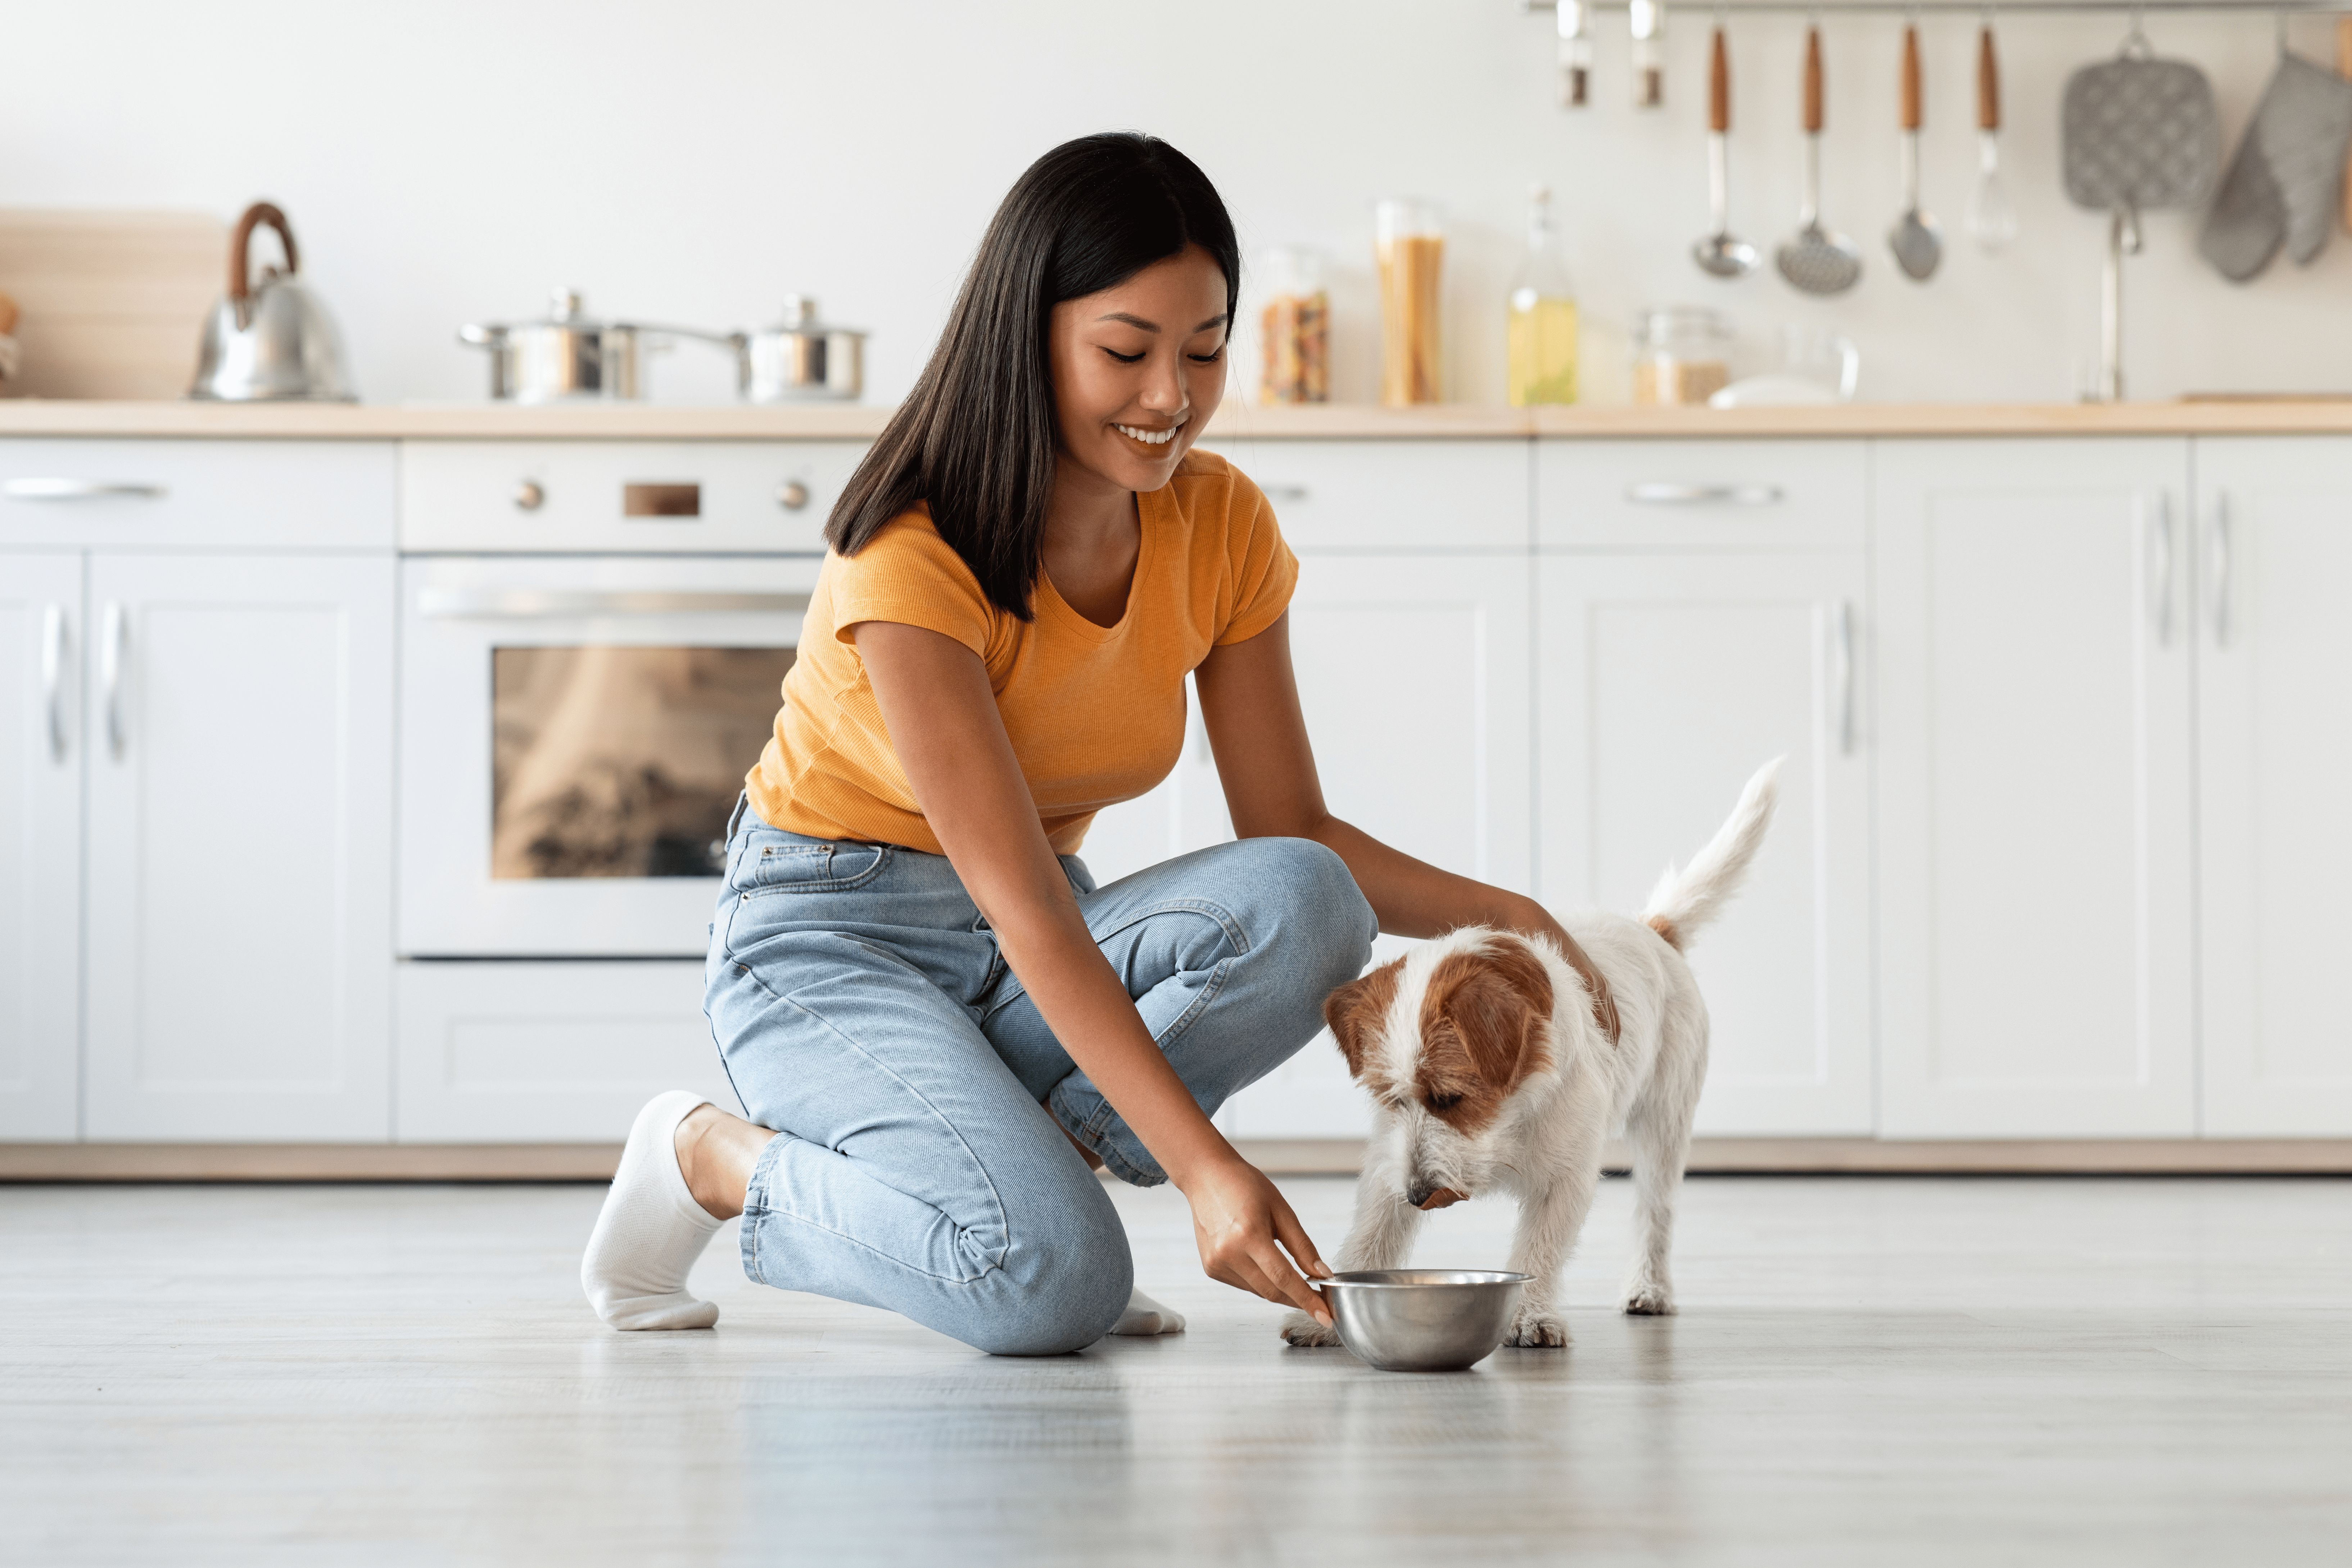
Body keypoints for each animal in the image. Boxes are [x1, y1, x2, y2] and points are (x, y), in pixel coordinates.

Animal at [1289, 762, 1778, 1354]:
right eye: (1391, 1100)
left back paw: (1649, 1288)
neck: (1511, 1114)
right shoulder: (1391, 1165)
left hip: (1665, 1126)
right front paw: (1324, 1316)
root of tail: (1651, 929)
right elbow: (1371, 1235)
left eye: (1449, 1098)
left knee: (1655, 1211)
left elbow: (1540, 1248)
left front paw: (1529, 1317)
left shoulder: (1564, 1178)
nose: (1418, 1195)